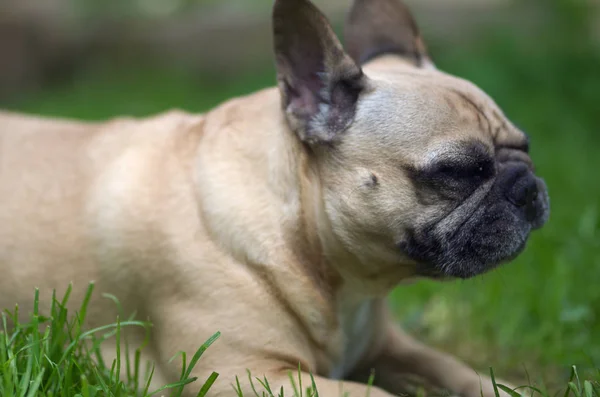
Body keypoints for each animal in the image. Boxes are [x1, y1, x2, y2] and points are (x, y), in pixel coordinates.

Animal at [0, 0, 548, 396]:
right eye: (456, 172)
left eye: (525, 147)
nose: (527, 187)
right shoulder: (249, 374)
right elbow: (375, 394)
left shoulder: (391, 346)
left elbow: (459, 371)